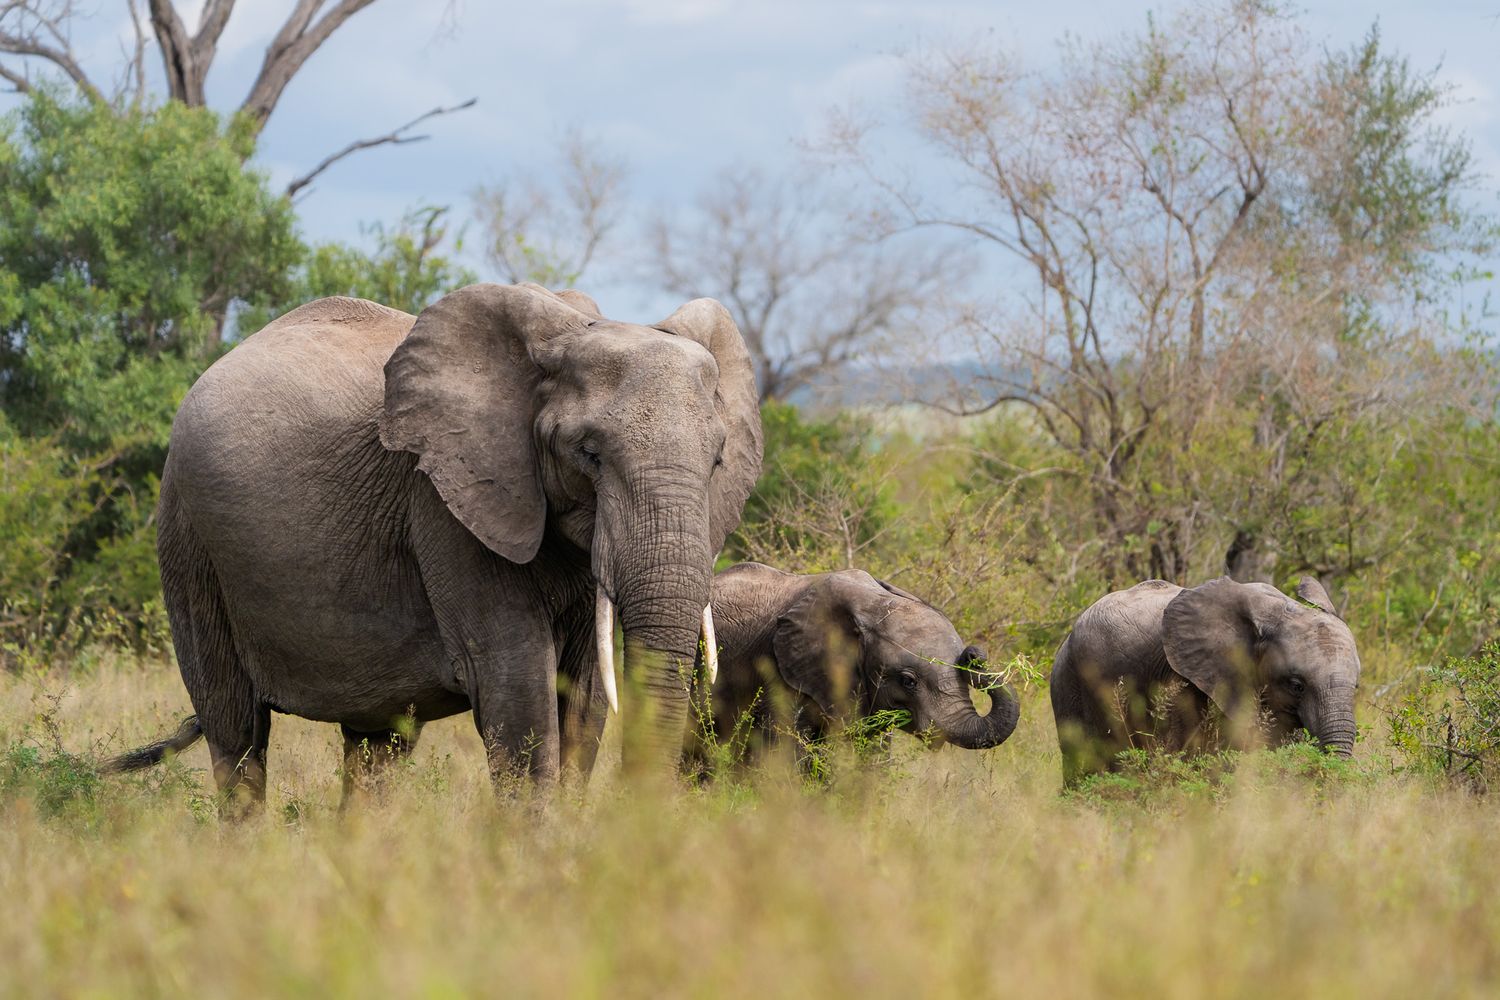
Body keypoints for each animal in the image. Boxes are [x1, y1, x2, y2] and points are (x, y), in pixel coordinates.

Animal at [104, 283, 762, 802]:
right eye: (589, 454)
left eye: (718, 459)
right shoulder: (444, 507)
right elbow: (518, 689)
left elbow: (583, 700)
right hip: (188, 539)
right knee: (237, 732)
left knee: (378, 745)